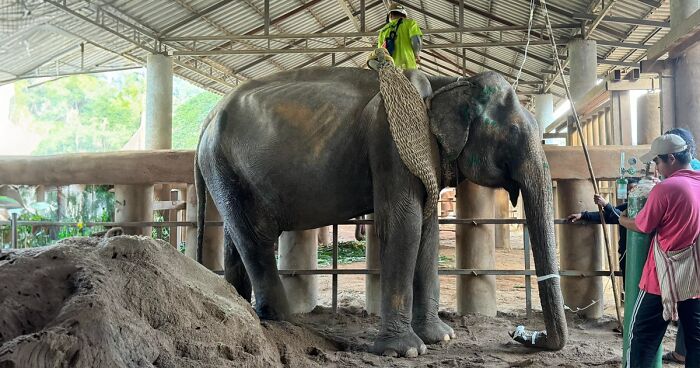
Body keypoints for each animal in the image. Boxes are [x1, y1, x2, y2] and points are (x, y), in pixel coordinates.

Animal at [194, 67, 568, 356]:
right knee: (254, 238)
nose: (521, 334)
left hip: (227, 172)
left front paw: (441, 338)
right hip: (223, 163)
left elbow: (428, 231)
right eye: (514, 133)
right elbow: (405, 225)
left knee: (235, 237)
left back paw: (240, 310)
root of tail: (207, 119)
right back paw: (283, 322)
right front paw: (405, 351)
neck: (448, 81)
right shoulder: (391, 141)